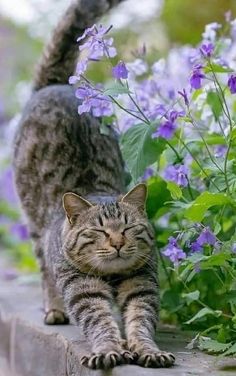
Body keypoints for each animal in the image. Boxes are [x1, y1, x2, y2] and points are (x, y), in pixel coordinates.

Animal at [12, 0, 175, 370]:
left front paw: (146, 349)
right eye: (99, 231)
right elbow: (99, 320)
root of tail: (57, 84)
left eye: (127, 228)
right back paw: (54, 310)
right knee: (44, 274)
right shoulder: (82, 287)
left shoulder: (141, 283)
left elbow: (140, 320)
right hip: (34, 225)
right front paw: (108, 349)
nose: (116, 243)